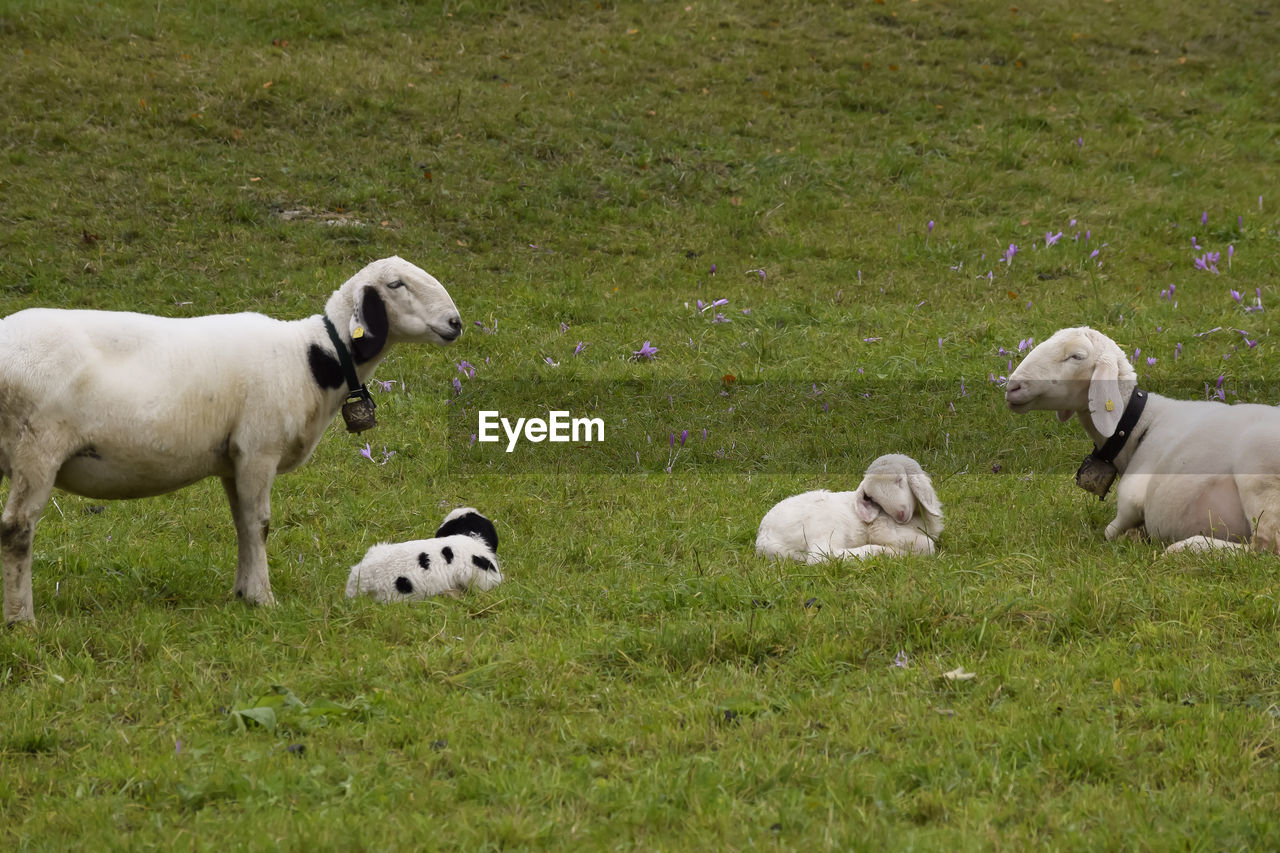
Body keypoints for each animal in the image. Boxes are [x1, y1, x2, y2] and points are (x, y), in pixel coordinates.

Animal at [0, 256, 460, 622]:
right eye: (396, 284)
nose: (456, 323)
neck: (310, 360)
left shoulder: (232, 457)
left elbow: (241, 524)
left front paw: (242, 593)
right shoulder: (259, 448)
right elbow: (260, 524)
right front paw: (263, 598)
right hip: (37, 446)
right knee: (17, 529)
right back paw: (22, 619)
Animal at [752, 450, 947, 563]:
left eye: (900, 480)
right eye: (872, 496)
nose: (900, 515)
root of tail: (763, 538)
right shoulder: (881, 530)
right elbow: (928, 545)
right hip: (824, 525)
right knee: (820, 556)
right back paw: (884, 552)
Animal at [1003, 324, 1280, 550]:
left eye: (1076, 356)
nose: (1012, 387)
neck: (1142, 424)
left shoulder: (1131, 500)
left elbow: (1110, 531)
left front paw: (1132, 536)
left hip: (1260, 474)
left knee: (1265, 546)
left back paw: (1185, 548)